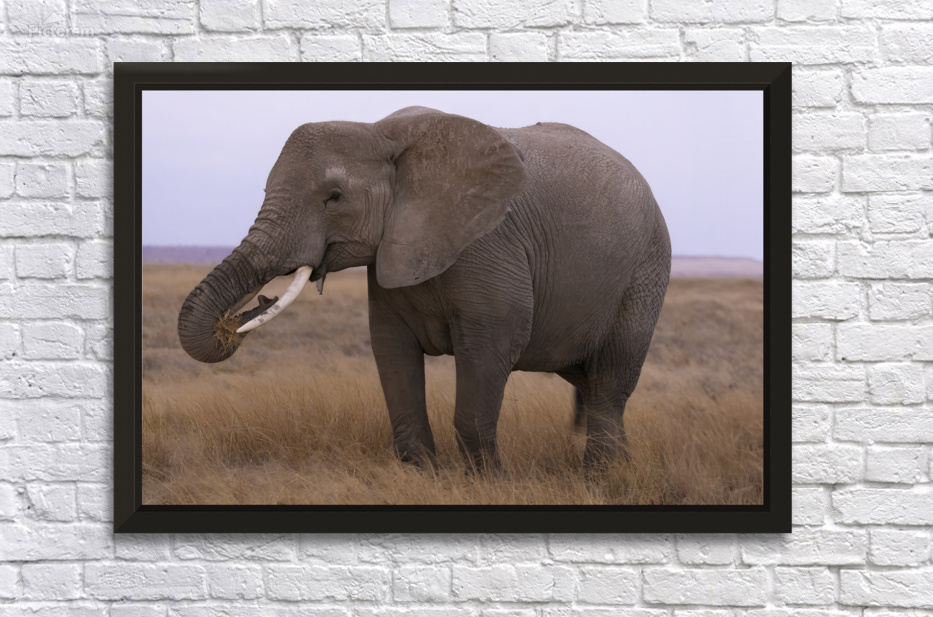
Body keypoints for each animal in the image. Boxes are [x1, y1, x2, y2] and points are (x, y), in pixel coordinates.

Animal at [177, 106, 671, 473]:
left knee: (609, 379)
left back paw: (599, 478)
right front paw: (424, 473)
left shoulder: (488, 242)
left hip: (646, 269)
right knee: (588, 379)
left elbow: (492, 345)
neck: (379, 132)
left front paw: (489, 482)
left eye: (333, 197)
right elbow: (391, 349)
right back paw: (621, 468)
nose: (242, 314)